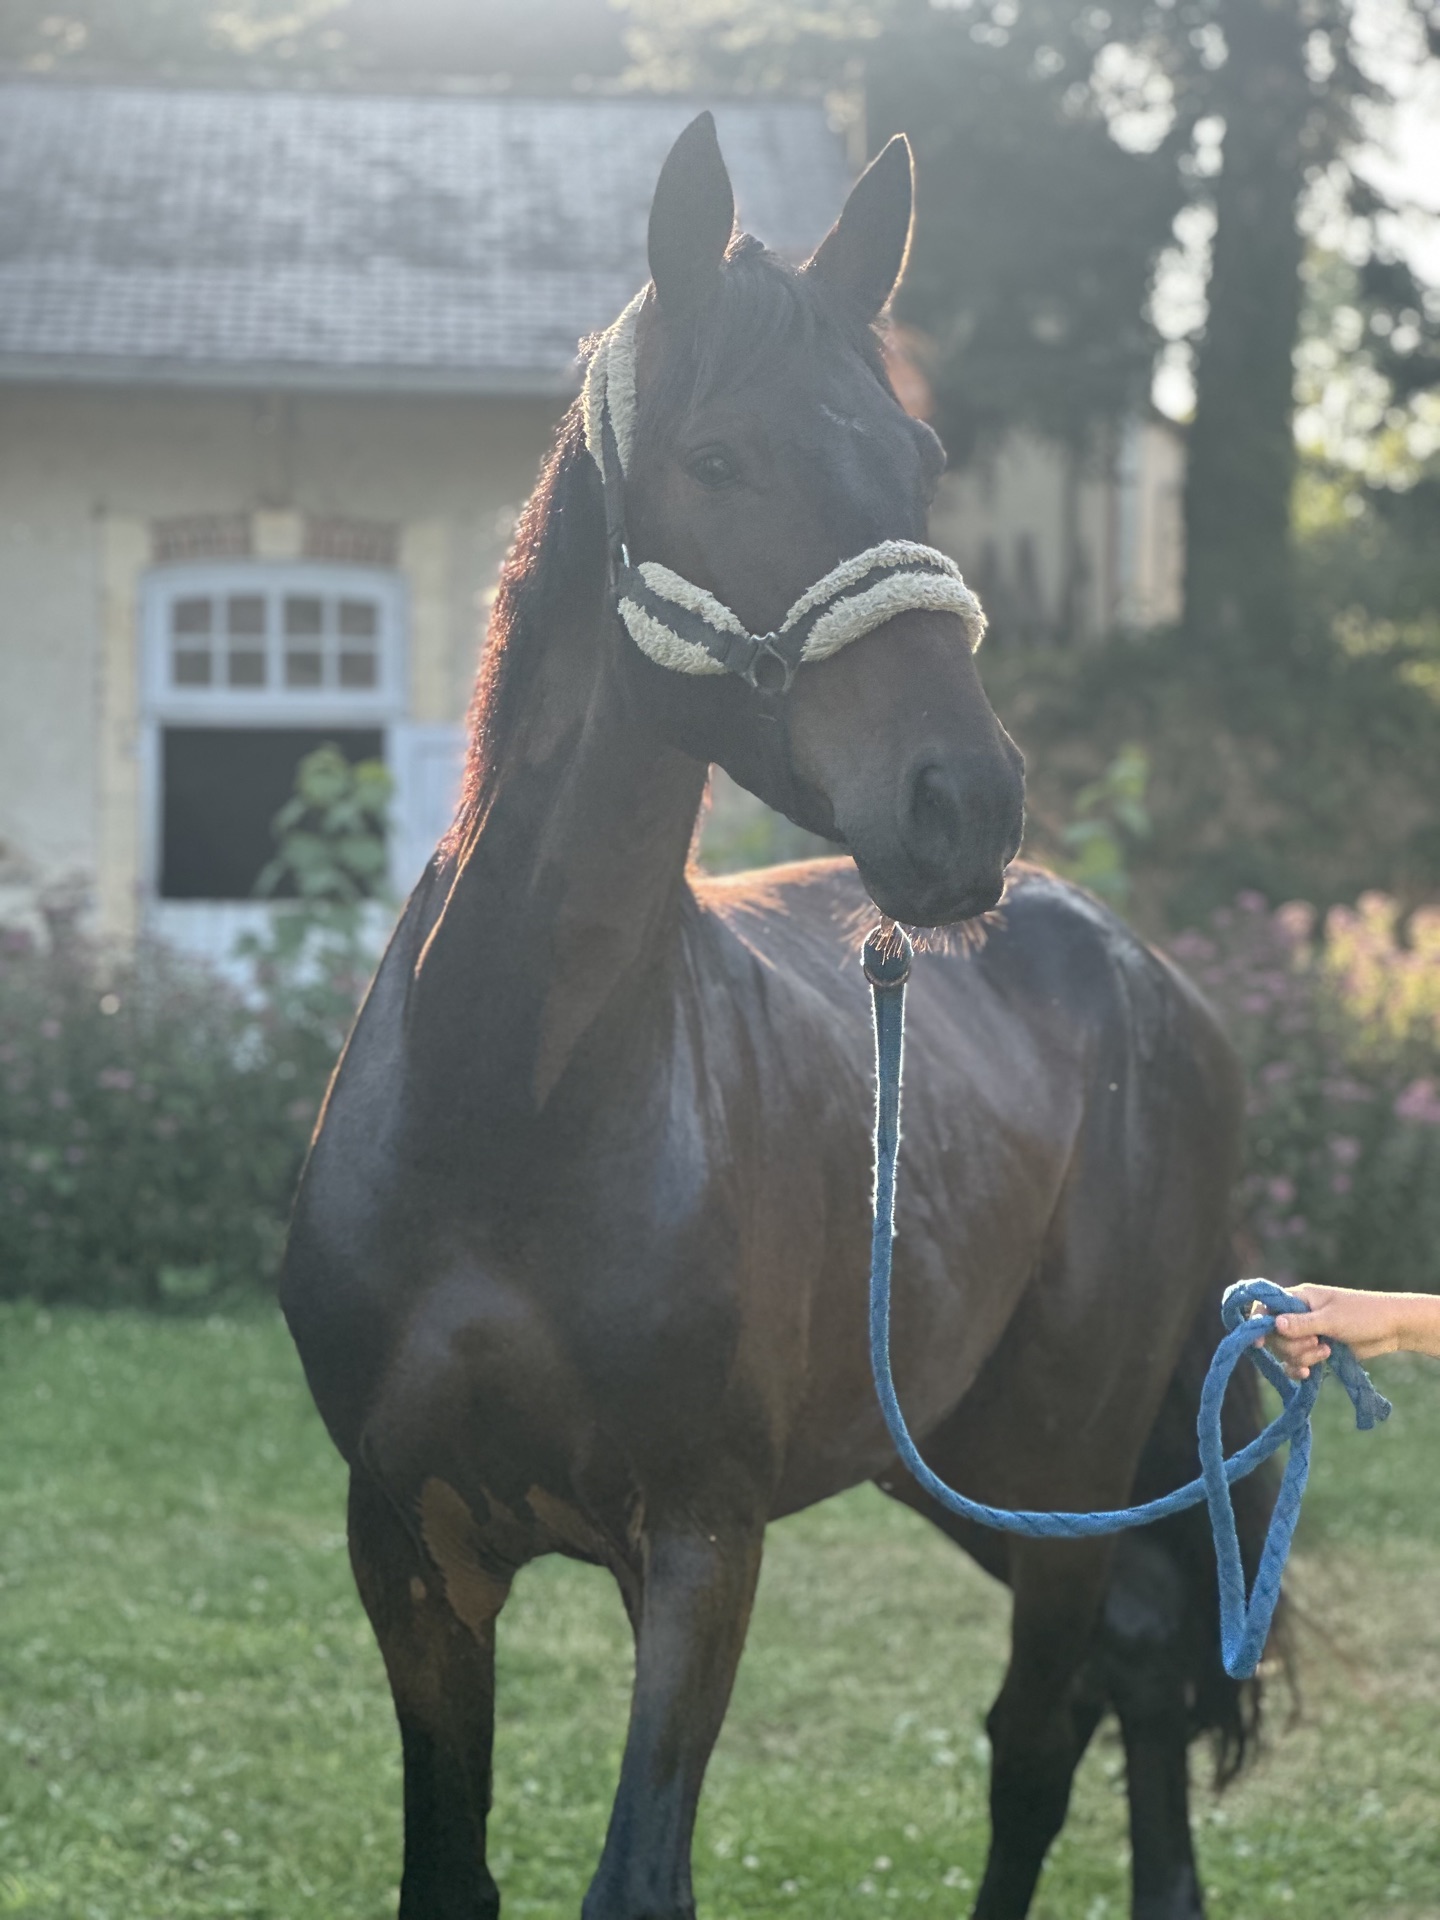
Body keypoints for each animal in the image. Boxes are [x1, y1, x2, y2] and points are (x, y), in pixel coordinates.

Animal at [281, 114, 1272, 1920]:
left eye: (922, 458)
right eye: (722, 459)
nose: (965, 804)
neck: (509, 1107)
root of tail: (1145, 972)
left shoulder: (698, 1539)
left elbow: (640, 1875)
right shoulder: (409, 1549)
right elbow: (446, 1874)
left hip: (1070, 1453)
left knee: (1057, 1718)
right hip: (961, 1453)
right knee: (1132, 1665)